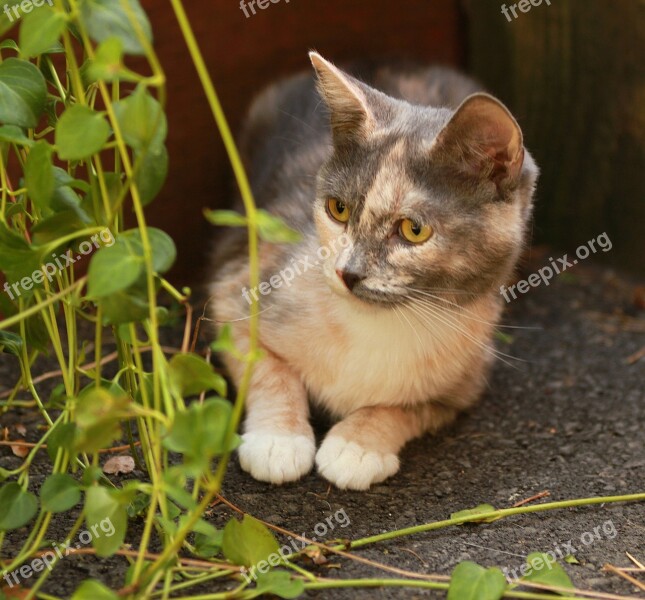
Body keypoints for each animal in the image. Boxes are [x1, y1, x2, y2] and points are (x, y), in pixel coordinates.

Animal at [208, 52, 540, 488]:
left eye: (414, 230)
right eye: (338, 208)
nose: (347, 272)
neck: (378, 325)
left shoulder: (468, 380)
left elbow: (408, 407)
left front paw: (358, 445)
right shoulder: (237, 284)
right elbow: (264, 366)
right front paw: (278, 439)